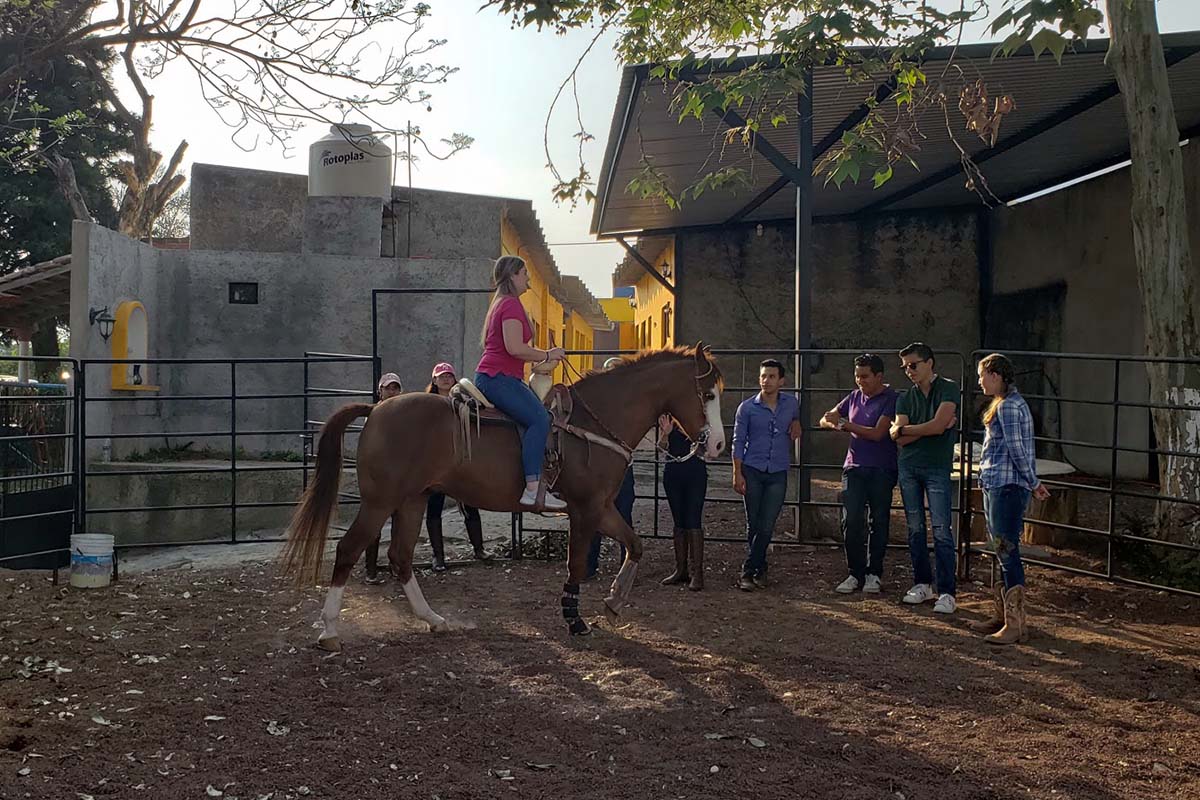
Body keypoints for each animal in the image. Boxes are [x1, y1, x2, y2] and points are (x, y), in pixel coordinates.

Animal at [280, 345, 724, 652]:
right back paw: (330, 630)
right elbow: (577, 564)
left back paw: (433, 618)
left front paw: (614, 601)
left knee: (400, 558)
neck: (593, 423)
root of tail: (377, 408)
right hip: (380, 502)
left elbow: (635, 545)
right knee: (349, 550)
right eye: (708, 394)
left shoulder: (602, 507)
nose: (718, 444)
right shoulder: (585, 510)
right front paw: (575, 619)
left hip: (413, 500)